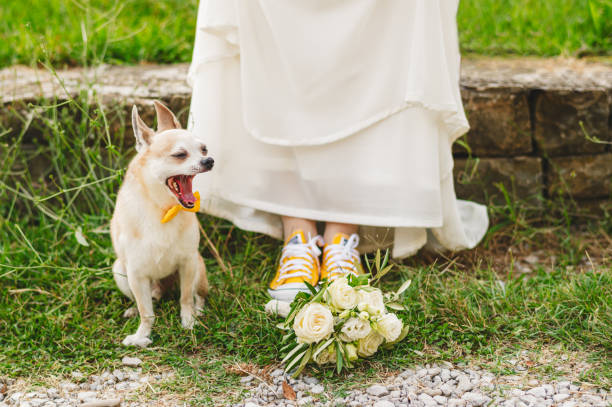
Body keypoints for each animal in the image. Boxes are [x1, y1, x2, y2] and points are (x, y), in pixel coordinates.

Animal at [111, 101, 214, 348]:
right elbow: (146, 311)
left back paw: (198, 310)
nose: (209, 160)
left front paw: (189, 322)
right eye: (180, 155)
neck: (162, 209)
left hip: (198, 268)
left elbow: (185, 298)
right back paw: (139, 307)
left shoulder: (187, 263)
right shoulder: (136, 274)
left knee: (198, 295)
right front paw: (142, 334)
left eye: (204, 149)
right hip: (119, 271)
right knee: (147, 299)